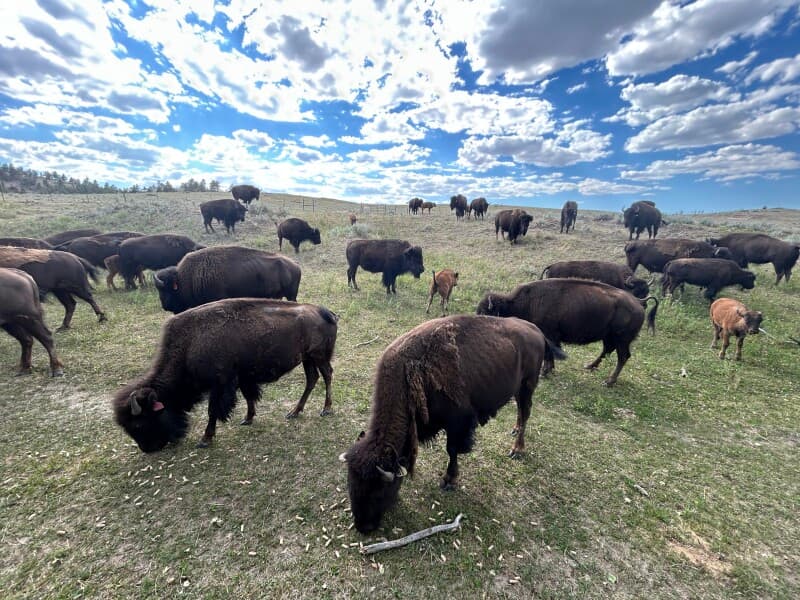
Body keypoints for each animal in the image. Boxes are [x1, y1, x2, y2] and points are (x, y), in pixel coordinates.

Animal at [113, 299, 338, 452]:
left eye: (138, 423)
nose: (148, 449)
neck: (189, 344)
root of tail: (324, 311)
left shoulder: (220, 384)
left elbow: (213, 410)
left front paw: (205, 439)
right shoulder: (243, 378)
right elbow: (249, 396)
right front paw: (247, 419)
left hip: (318, 356)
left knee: (326, 375)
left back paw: (326, 409)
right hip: (307, 358)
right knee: (312, 379)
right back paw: (294, 412)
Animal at [341, 315, 564, 533]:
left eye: (378, 491)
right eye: (351, 484)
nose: (363, 527)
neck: (410, 374)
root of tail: (536, 330)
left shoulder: (457, 423)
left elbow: (452, 450)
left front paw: (449, 481)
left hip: (528, 385)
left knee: (525, 413)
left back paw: (517, 449)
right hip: (519, 389)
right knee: (520, 412)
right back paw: (515, 430)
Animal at [477, 278, 658, 386]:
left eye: (486, 312)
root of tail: (638, 302)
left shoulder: (550, 336)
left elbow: (549, 354)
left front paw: (544, 372)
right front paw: (548, 371)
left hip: (622, 340)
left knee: (622, 357)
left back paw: (609, 381)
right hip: (609, 337)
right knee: (607, 351)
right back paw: (590, 366)